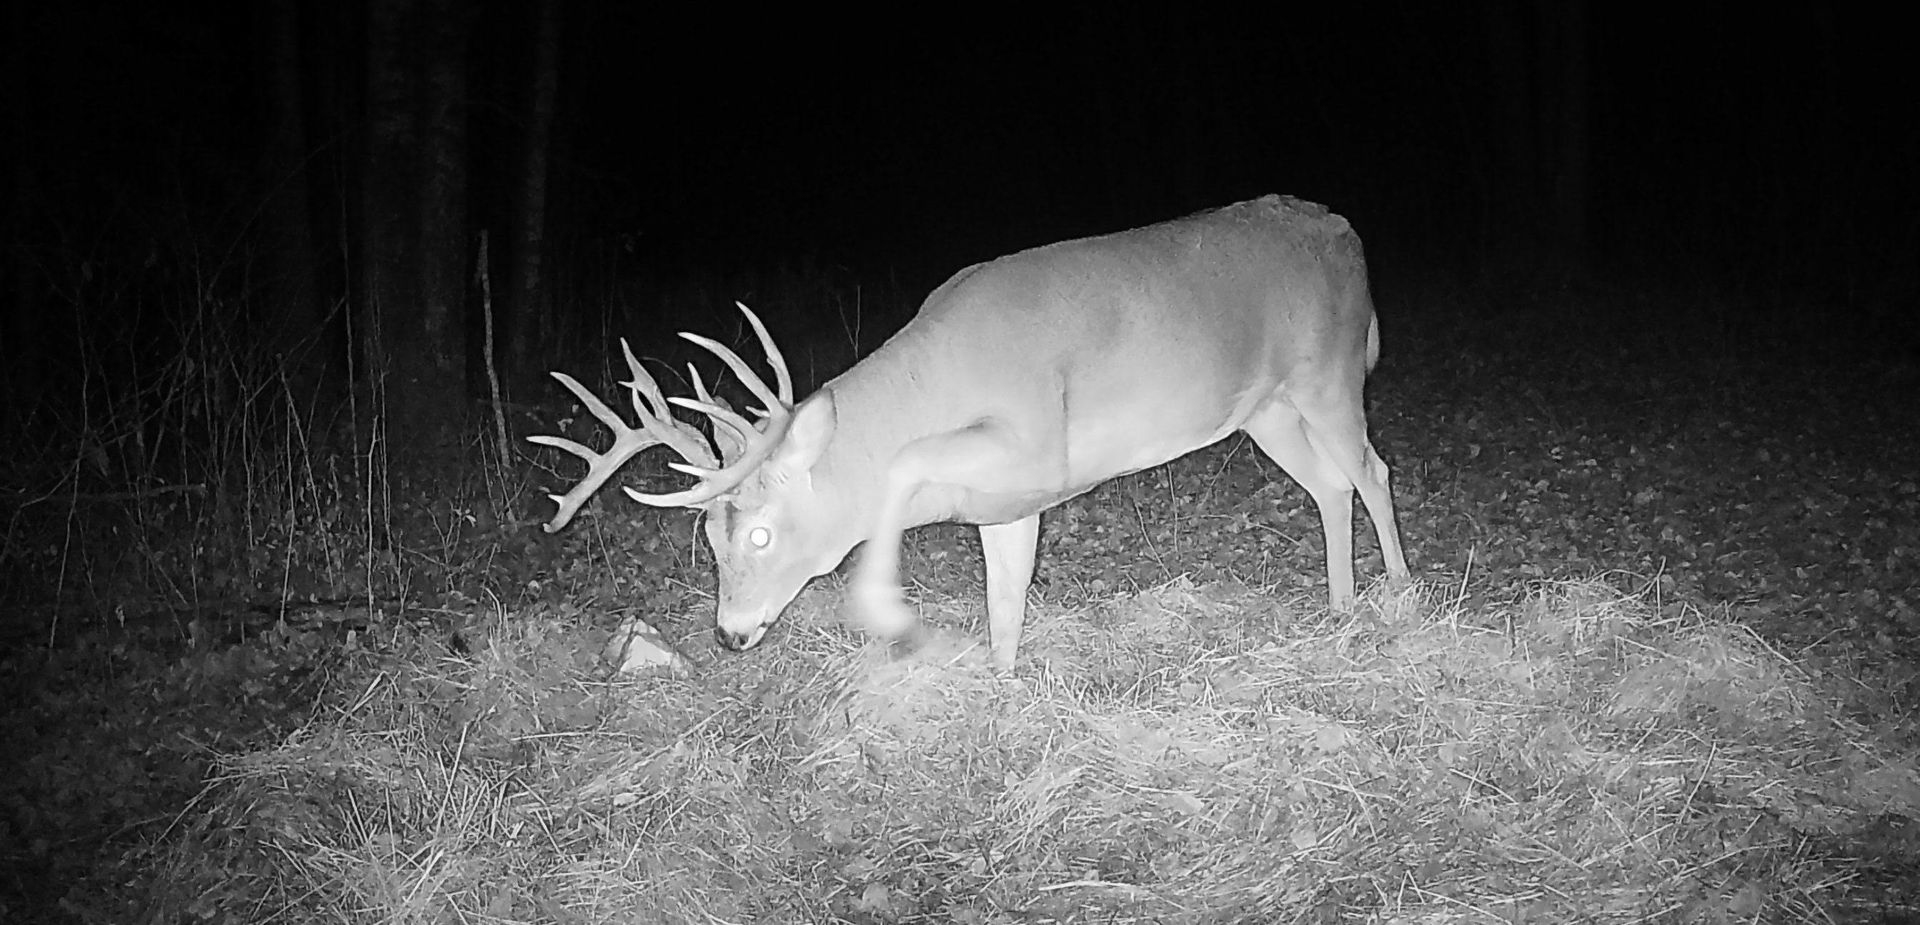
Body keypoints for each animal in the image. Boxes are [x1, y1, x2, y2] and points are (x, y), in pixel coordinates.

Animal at [530, 195, 1410, 669]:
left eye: (761, 534)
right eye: (710, 537)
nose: (730, 632)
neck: (942, 375)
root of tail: (1347, 230)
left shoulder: (1038, 445)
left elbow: (909, 464)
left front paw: (883, 605)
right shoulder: (1004, 508)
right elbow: (1004, 609)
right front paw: (1003, 686)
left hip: (1330, 371)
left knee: (1372, 470)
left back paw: (1400, 593)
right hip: (1267, 408)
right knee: (1331, 483)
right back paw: (1340, 606)